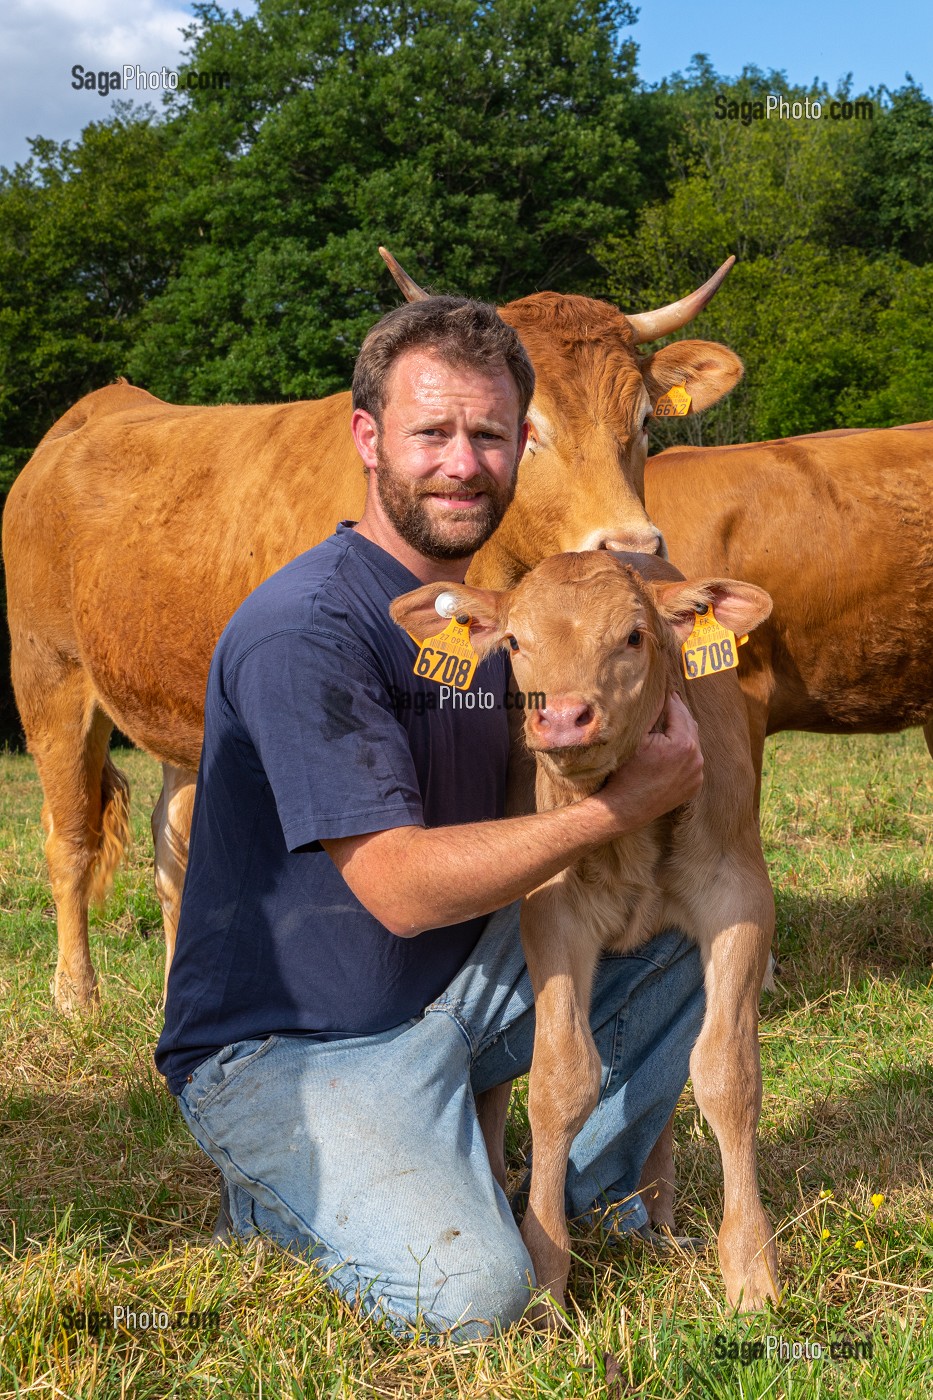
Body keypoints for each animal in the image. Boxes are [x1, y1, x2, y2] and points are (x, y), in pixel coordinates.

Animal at [390, 549, 779, 1312]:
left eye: (633, 636)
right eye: (515, 642)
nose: (564, 718)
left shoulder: (739, 898)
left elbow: (726, 1072)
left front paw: (750, 1265)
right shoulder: (552, 912)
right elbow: (560, 1081)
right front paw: (544, 1272)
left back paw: (657, 1209)